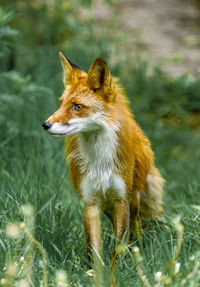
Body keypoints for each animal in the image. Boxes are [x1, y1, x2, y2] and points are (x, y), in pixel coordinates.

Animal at [42, 53, 164, 264]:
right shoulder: (90, 200)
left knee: (137, 226)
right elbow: (93, 247)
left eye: (77, 106)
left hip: (135, 198)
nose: (46, 124)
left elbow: (120, 243)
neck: (99, 162)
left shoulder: (121, 198)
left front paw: (120, 266)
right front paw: (95, 270)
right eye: (61, 103)